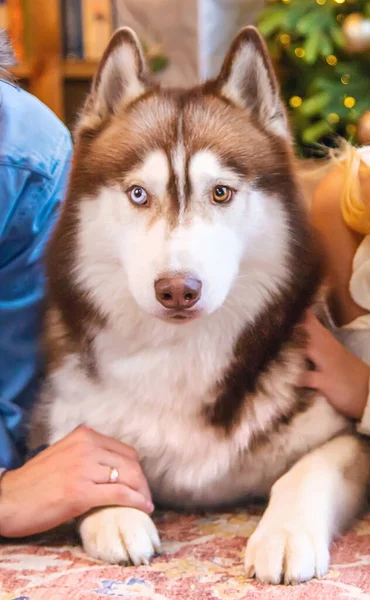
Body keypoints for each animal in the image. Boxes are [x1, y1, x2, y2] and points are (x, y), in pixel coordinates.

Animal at [31, 25, 370, 584]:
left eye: (221, 193)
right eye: (138, 194)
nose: (177, 289)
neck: (182, 353)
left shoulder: (346, 435)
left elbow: (308, 470)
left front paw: (284, 534)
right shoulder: (61, 412)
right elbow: (84, 455)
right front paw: (115, 512)